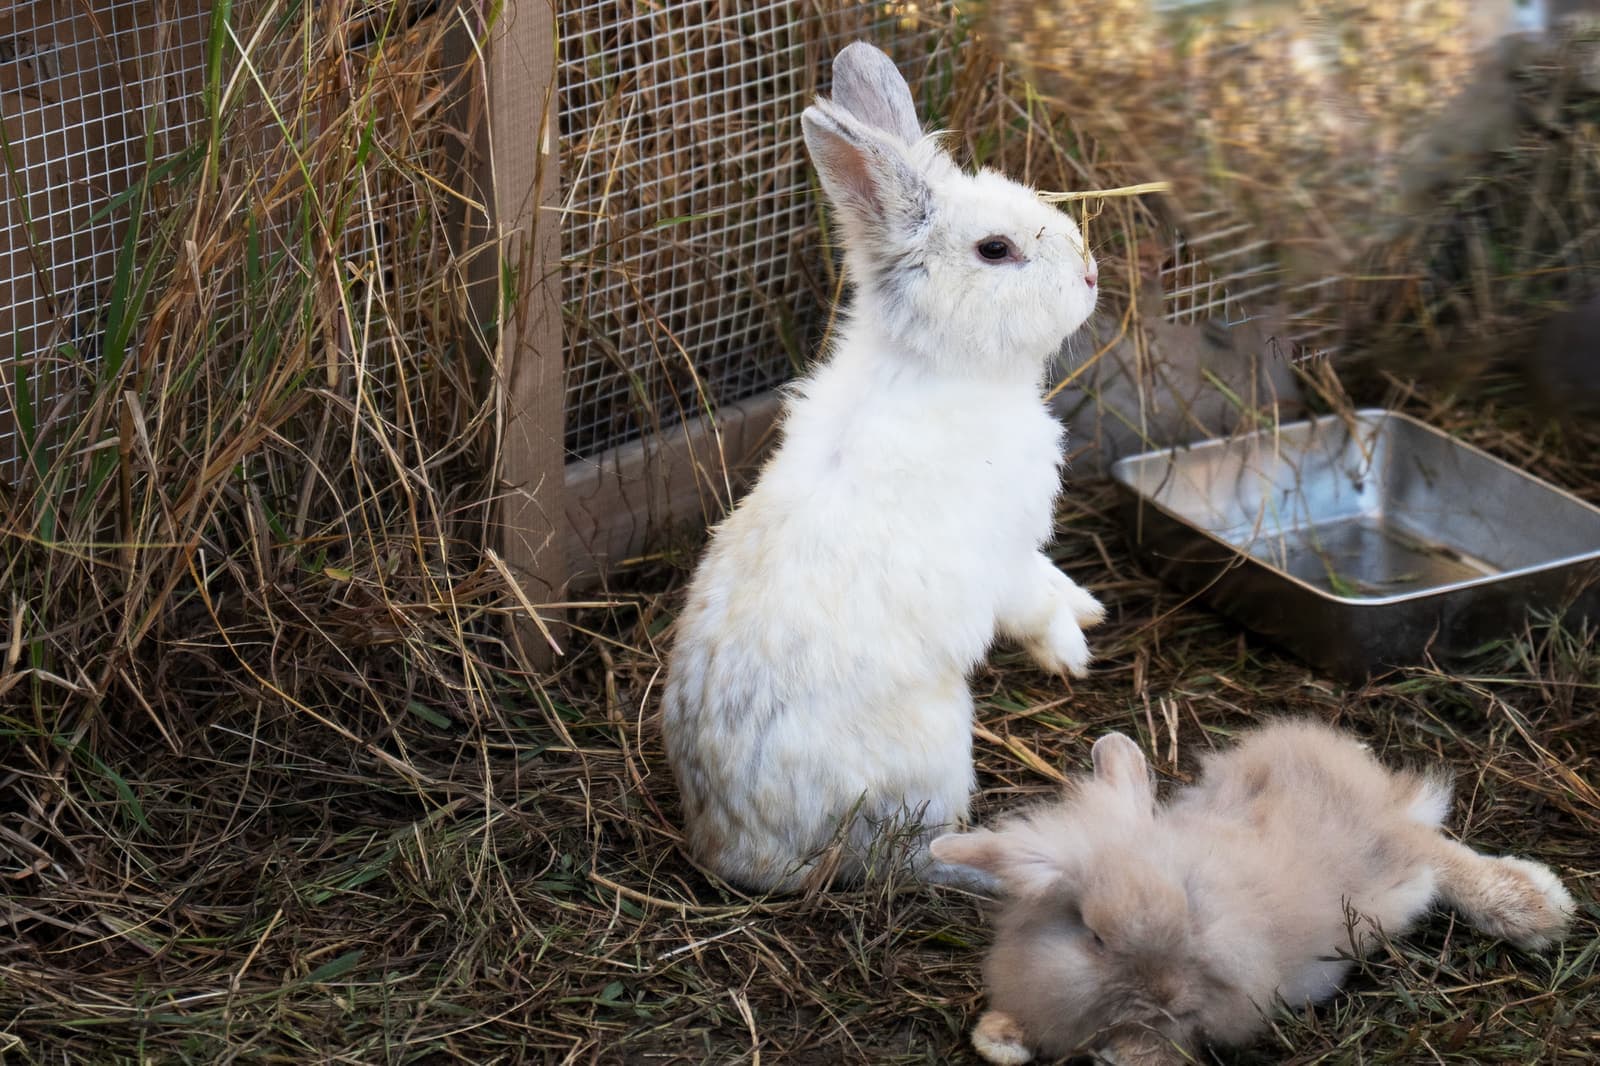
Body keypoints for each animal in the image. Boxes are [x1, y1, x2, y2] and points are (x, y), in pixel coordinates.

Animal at [660, 41, 1104, 894]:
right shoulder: (1001, 557)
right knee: (908, 855)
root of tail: (743, 856)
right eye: (996, 250)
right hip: (936, 752)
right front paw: (1074, 656)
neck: (936, 367)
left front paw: (1091, 608)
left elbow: (1053, 580)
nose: (1093, 275)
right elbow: (1033, 603)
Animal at [931, 719, 1576, 1065]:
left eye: (1189, 907)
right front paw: (999, 1038)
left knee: (1443, 859)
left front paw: (1122, 1050)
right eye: (1094, 938)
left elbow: (1171, 1043)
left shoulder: (1224, 1006)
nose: (1165, 994)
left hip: (1390, 860)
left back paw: (1540, 908)